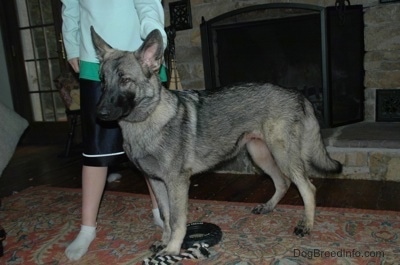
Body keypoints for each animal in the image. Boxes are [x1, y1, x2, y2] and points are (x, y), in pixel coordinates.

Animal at [91, 27, 344, 256]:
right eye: (102, 81)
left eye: (125, 80)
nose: (100, 113)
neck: (147, 120)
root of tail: (296, 93)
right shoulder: (156, 182)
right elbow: (166, 216)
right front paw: (164, 242)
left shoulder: (176, 183)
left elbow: (177, 220)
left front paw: (172, 249)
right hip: (260, 155)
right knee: (282, 182)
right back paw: (269, 207)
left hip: (283, 156)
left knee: (307, 188)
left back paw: (306, 225)